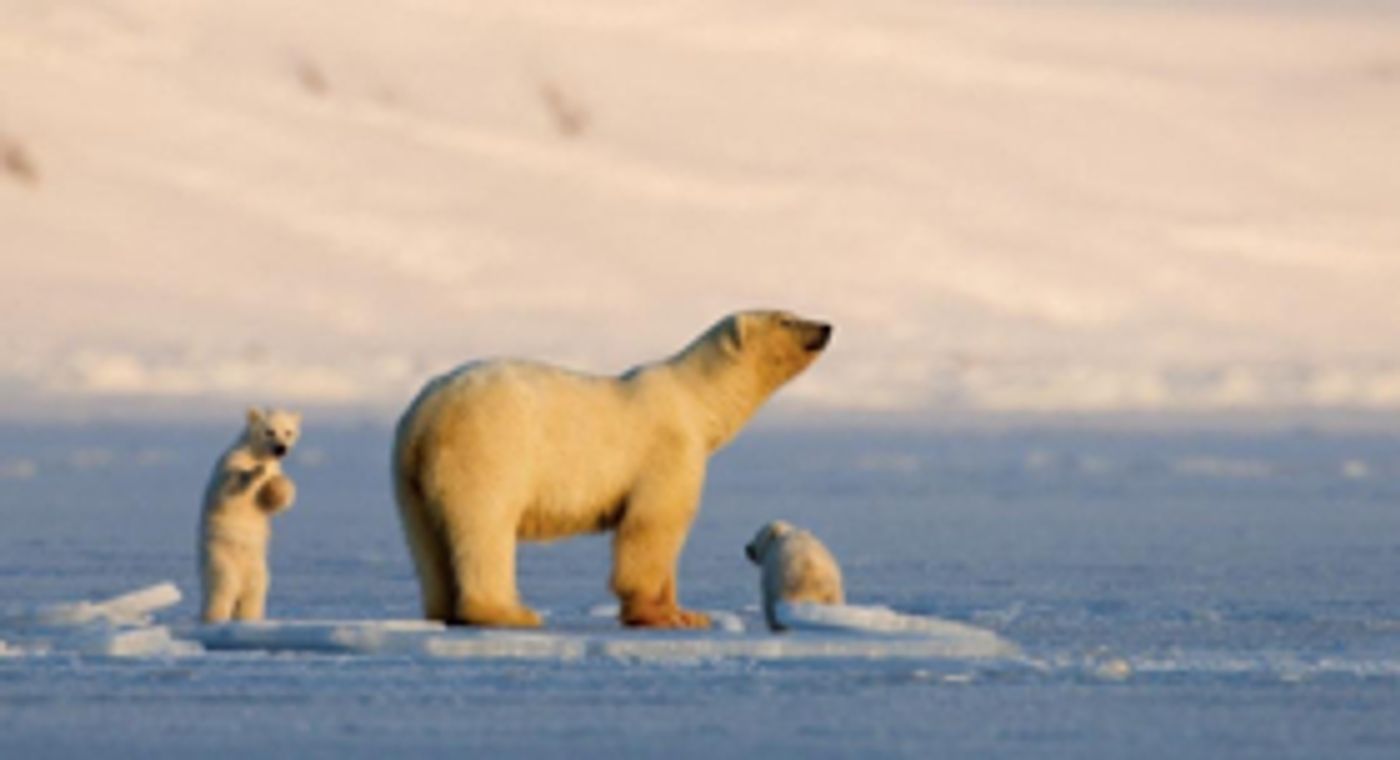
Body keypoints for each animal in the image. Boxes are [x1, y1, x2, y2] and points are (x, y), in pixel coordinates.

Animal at [199, 407, 301, 623]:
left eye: (289, 432)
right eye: (269, 431)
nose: (281, 448)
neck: (256, 454)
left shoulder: (275, 468)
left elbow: (270, 502)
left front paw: (280, 487)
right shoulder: (231, 461)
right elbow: (228, 487)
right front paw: (255, 472)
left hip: (258, 569)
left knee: (254, 594)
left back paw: (251, 619)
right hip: (221, 559)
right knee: (222, 589)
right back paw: (214, 618)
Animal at [392, 309, 832, 629]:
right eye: (786, 318)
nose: (826, 326)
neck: (695, 399)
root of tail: (425, 416)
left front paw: (689, 613)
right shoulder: (668, 449)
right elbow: (652, 526)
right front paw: (660, 616)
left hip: (408, 475)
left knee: (426, 541)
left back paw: (442, 610)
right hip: (486, 449)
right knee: (485, 527)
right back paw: (509, 613)